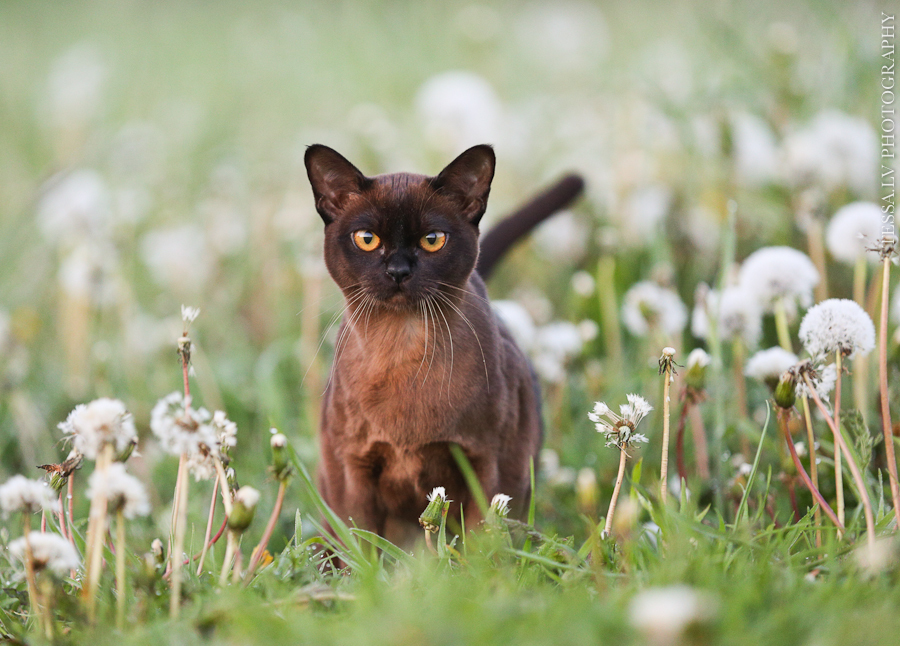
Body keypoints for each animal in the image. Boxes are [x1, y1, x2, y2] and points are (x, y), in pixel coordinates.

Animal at [302, 147, 584, 548]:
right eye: (367, 239)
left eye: (432, 239)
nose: (398, 271)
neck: (403, 348)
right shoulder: (354, 472)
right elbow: (361, 546)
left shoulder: (486, 466)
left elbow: (484, 545)